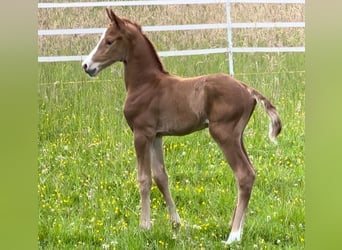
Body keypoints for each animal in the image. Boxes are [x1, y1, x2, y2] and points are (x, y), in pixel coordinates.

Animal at [82, 8, 280, 244]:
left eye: (109, 41)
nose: (87, 66)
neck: (146, 84)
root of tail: (247, 88)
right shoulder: (156, 135)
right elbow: (161, 177)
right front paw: (176, 224)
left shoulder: (141, 133)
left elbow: (144, 179)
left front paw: (144, 227)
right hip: (237, 136)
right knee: (251, 173)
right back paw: (236, 229)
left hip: (223, 134)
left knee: (244, 174)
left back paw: (233, 236)